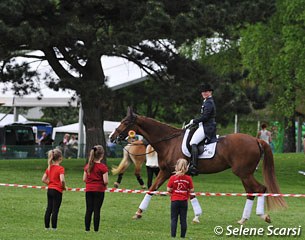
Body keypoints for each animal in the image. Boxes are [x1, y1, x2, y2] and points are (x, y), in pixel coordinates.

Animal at [109, 108, 284, 224]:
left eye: (125, 122)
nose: (112, 137)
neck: (169, 142)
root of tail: (256, 139)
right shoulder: (169, 172)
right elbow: (157, 189)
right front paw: (138, 213)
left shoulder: (173, 172)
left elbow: (173, 191)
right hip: (244, 174)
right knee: (250, 192)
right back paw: (243, 219)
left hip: (243, 173)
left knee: (260, 189)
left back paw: (263, 216)